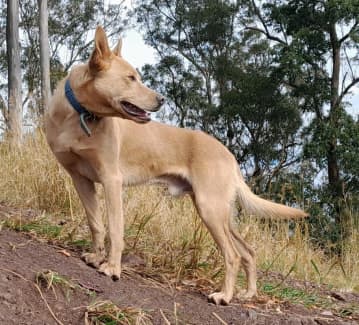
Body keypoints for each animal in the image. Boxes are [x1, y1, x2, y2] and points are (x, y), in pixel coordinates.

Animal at [45, 26, 308, 304]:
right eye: (131, 78)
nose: (162, 99)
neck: (80, 115)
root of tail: (229, 155)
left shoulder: (111, 180)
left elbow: (115, 229)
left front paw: (112, 268)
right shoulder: (81, 179)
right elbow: (96, 223)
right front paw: (96, 257)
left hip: (210, 209)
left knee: (233, 255)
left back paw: (224, 295)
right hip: (222, 214)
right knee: (248, 251)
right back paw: (247, 293)